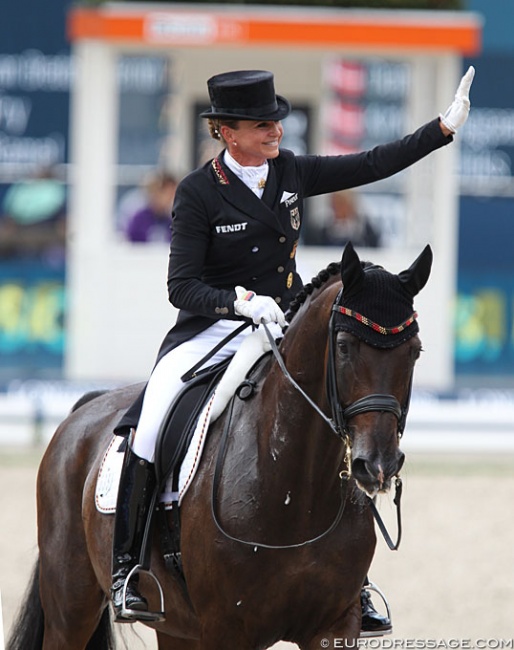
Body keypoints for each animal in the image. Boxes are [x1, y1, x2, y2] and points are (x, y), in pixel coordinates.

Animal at [10, 242, 430, 648]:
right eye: (343, 346)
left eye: (415, 351)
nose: (377, 464)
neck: (296, 489)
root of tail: (85, 408)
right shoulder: (227, 627)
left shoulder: (335, 625)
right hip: (71, 608)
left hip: (177, 627)